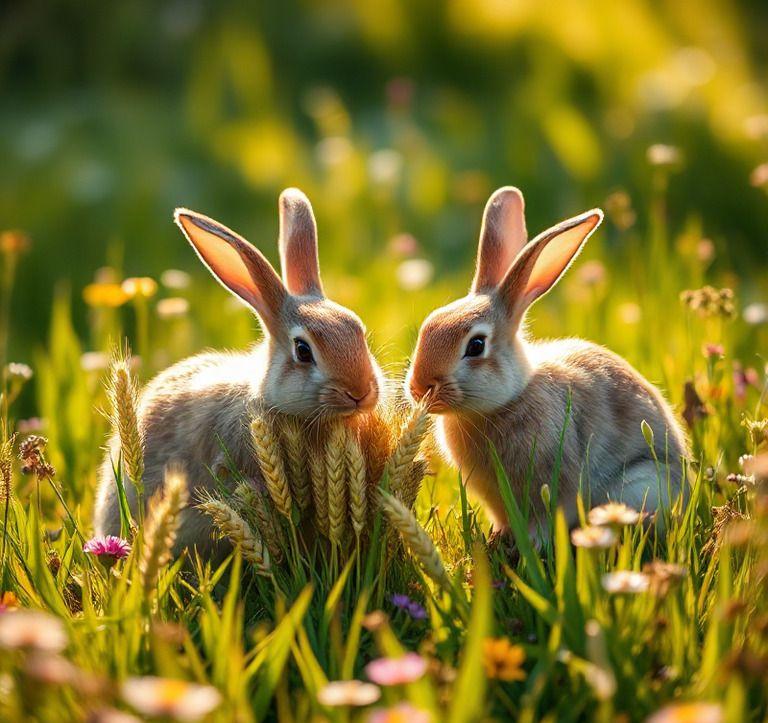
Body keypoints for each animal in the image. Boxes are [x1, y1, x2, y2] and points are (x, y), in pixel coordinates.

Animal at [408, 187, 688, 544]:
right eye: (427, 326)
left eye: (476, 345)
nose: (419, 388)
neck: (505, 401)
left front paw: (524, 545)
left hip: (640, 485)